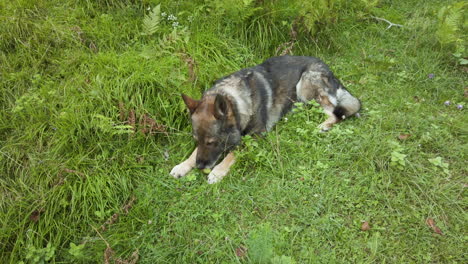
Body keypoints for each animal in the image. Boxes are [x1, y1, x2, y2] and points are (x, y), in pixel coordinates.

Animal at [170, 55, 360, 184]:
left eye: (211, 142)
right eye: (197, 140)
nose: (200, 167)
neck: (236, 101)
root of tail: (327, 68)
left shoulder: (255, 135)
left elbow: (232, 153)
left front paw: (218, 171)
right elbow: (193, 153)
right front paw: (182, 165)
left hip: (304, 87)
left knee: (335, 112)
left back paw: (323, 125)